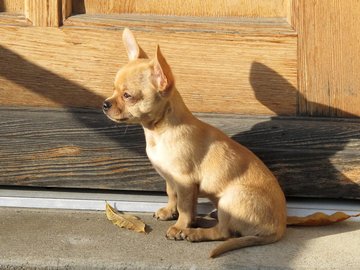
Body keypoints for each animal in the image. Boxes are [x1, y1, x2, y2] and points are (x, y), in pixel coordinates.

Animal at [103, 28, 286, 258]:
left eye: (128, 96)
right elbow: (172, 195)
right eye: (113, 89)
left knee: (224, 233)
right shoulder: (171, 178)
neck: (159, 131)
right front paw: (169, 212)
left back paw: (195, 233)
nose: (104, 104)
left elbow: (185, 206)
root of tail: (279, 227)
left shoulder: (185, 181)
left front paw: (180, 226)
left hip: (230, 199)